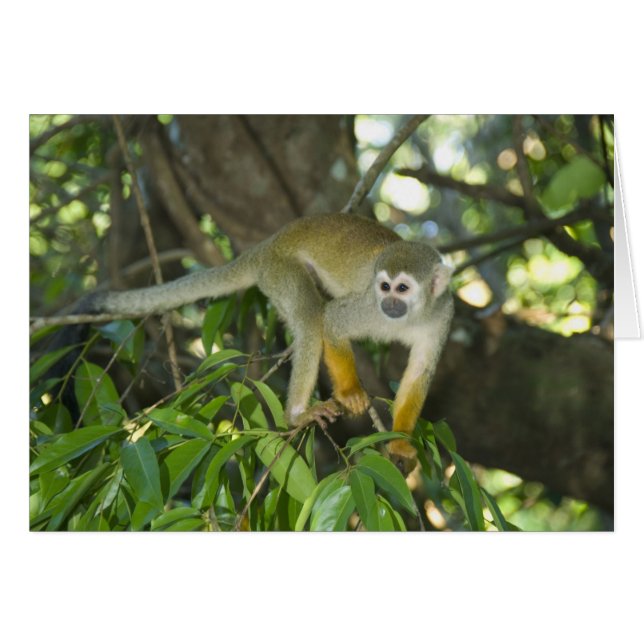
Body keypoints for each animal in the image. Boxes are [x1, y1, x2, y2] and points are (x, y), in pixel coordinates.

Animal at [51, 212, 453, 475]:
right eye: (384, 286)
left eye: (403, 288)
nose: (389, 304)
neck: (409, 316)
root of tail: (267, 245)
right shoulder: (367, 306)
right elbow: (333, 322)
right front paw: (352, 392)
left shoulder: (442, 316)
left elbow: (420, 373)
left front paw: (400, 442)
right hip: (279, 270)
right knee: (311, 318)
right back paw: (297, 414)